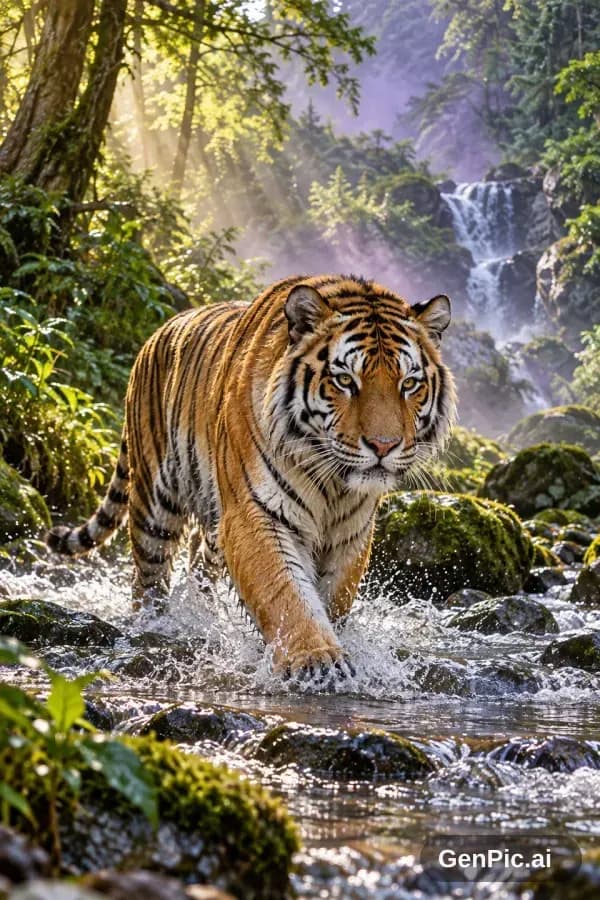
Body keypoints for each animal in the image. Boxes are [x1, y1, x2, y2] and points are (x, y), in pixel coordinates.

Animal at [47, 274, 456, 677]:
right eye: (344, 380)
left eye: (409, 384)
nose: (384, 446)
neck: (334, 483)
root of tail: (157, 331)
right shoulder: (255, 512)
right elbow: (286, 594)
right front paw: (317, 662)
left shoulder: (351, 532)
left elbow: (333, 597)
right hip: (153, 508)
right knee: (148, 580)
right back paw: (154, 624)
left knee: (201, 568)